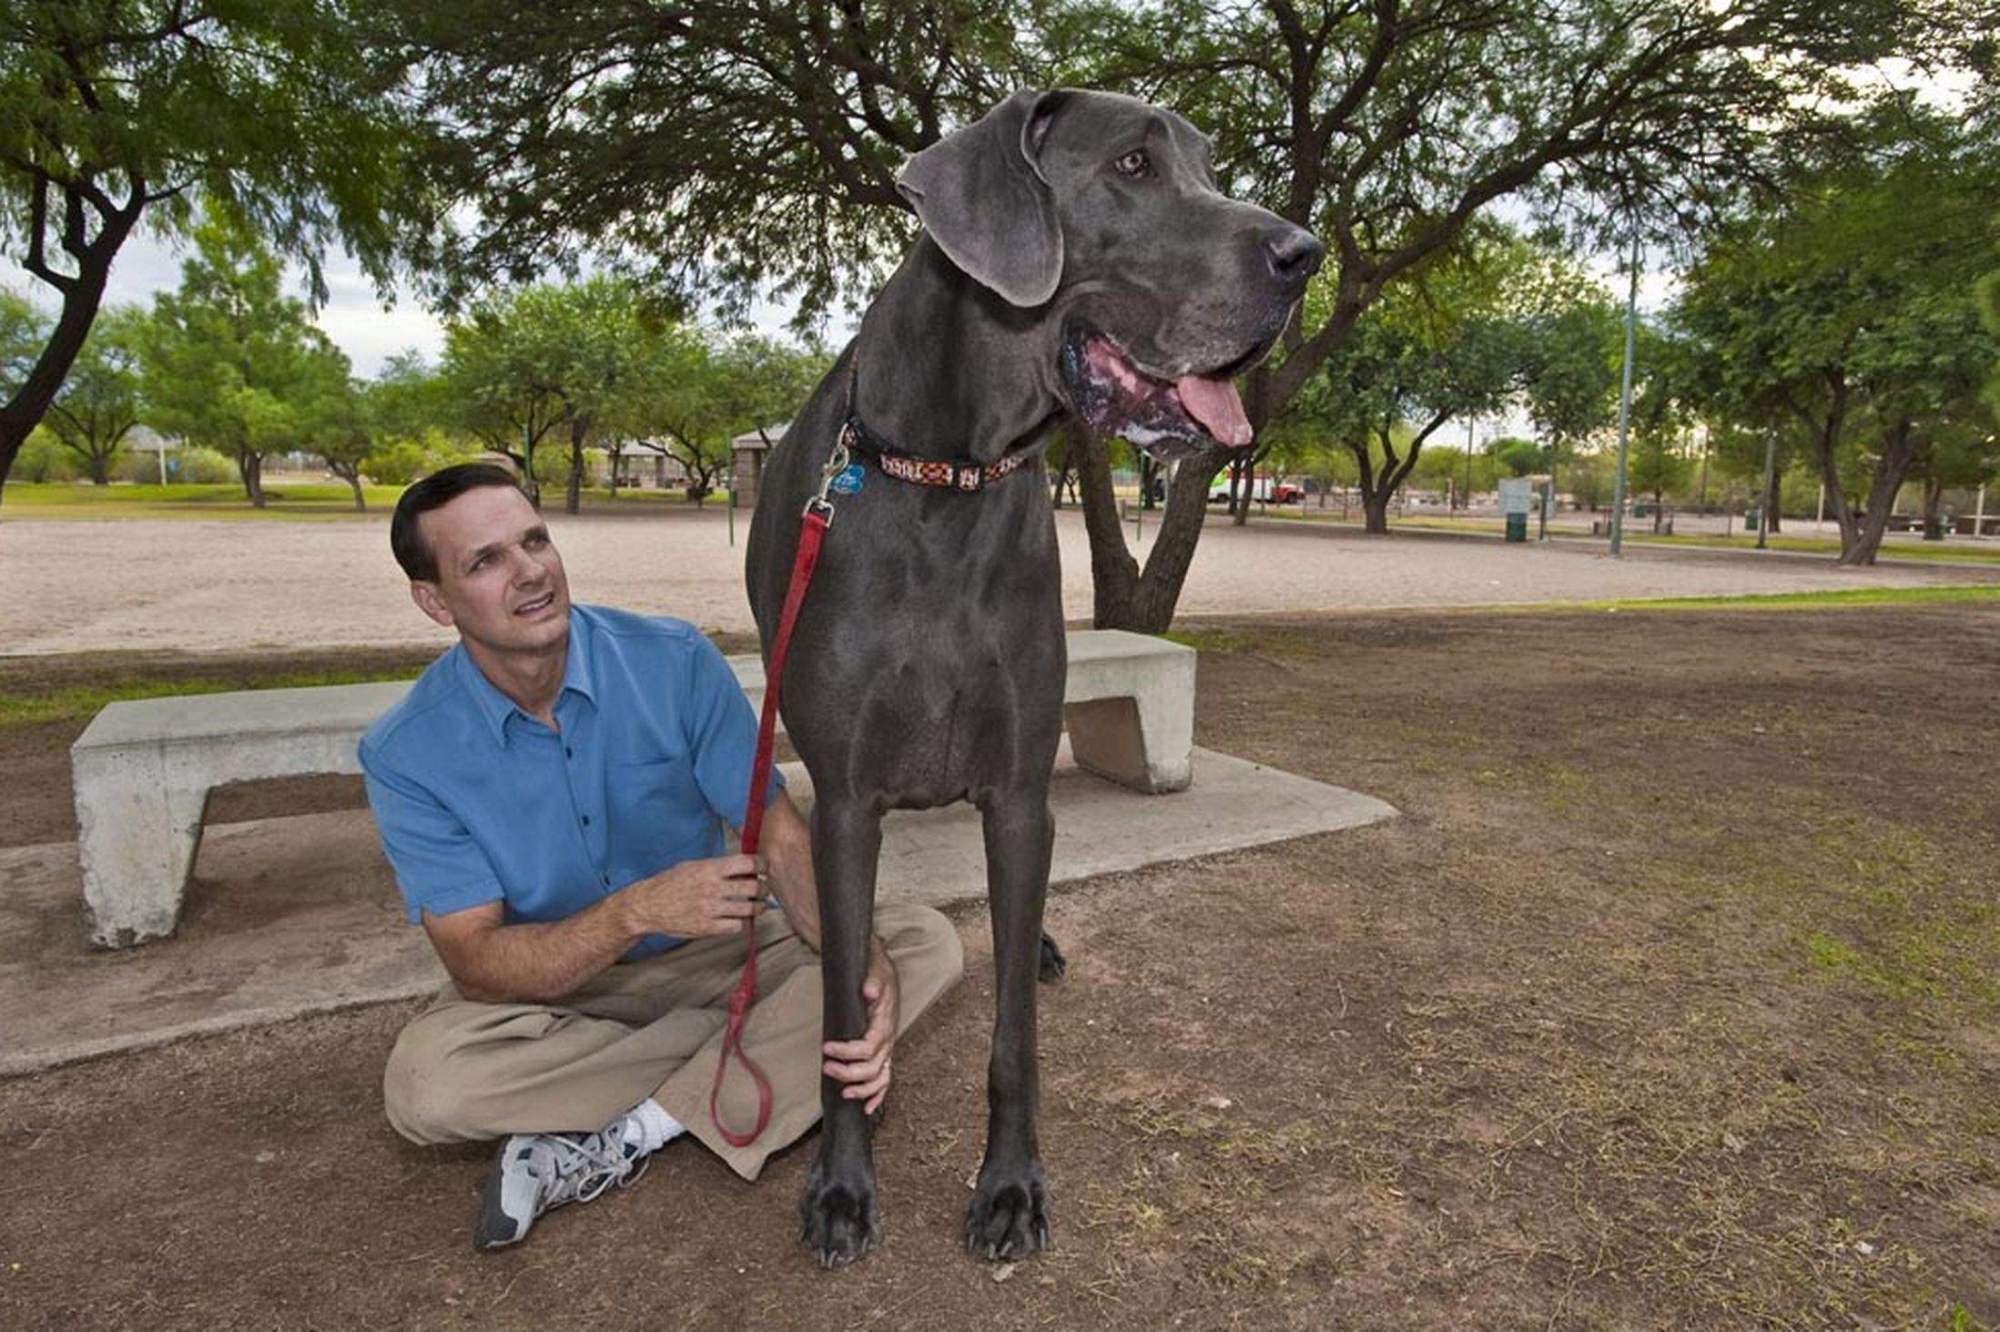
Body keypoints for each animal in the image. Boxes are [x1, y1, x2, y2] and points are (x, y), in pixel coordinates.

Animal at [744, 88, 1320, 1264]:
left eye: (1207, 164)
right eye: (1134, 165)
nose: (1305, 255)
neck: (947, 474)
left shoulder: (1015, 790)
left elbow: (1014, 1029)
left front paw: (1009, 1187)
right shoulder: (847, 799)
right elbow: (840, 1012)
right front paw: (841, 1185)